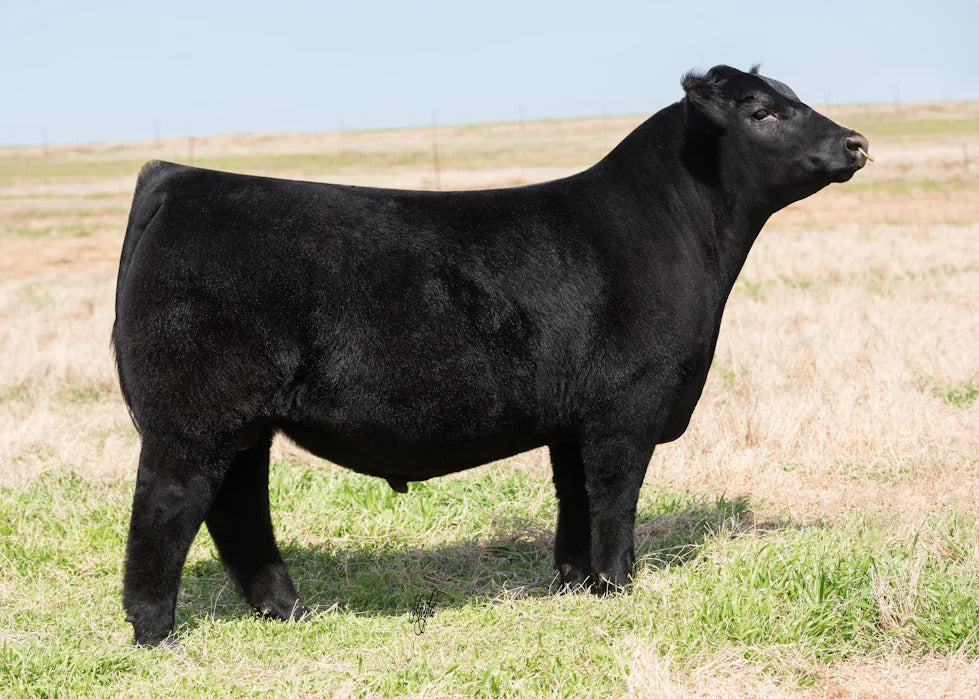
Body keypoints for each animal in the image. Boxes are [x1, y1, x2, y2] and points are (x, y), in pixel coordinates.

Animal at [113, 65, 870, 646]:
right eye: (761, 110)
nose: (856, 141)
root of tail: (178, 178)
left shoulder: (572, 419)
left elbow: (574, 498)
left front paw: (574, 583)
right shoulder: (628, 406)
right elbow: (614, 496)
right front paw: (618, 584)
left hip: (243, 425)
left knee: (238, 509)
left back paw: (290, 610)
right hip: (193, 419)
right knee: (167, 509)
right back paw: (157, 632)